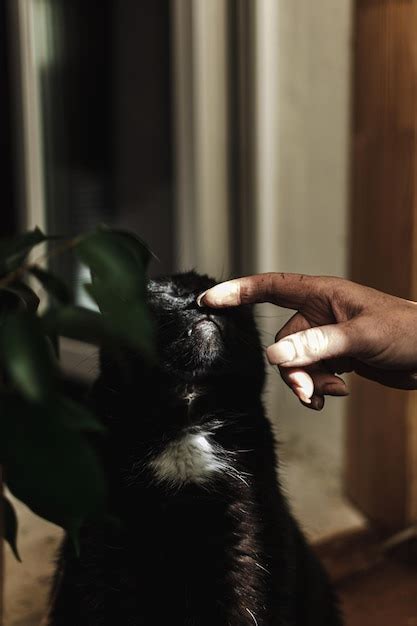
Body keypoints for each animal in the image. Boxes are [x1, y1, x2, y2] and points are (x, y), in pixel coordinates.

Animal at [48, 270, 342, 620]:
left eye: (227, 299)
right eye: (170, 293)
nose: (203, 301)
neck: (184, 422)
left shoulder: (248, 539)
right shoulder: (100, 549)